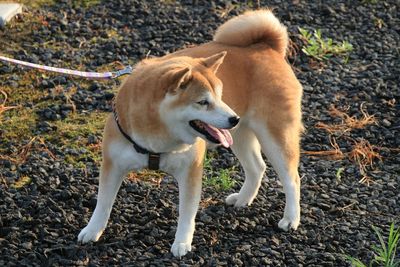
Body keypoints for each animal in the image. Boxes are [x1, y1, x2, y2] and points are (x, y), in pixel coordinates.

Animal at [77, 9, 304, 258]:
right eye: (203, 102)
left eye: (220, 95)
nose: (233, 118)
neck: (157, 137)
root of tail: (267, 46)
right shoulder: (113, 164)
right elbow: (103, 202)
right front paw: (92, 230)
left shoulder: (190, 170)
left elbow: (187, 212)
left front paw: (182, 243)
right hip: (239, 135)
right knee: (257, 167)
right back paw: (243, 199)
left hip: (275, 134)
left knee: (292, 179)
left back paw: (291, 218)